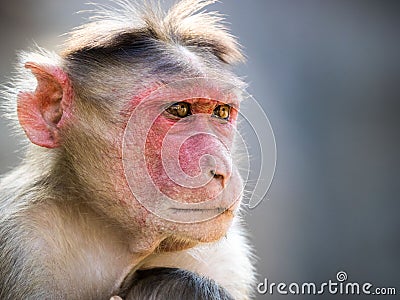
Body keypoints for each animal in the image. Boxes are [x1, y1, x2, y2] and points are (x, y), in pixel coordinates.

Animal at [0, 0, 255, 300]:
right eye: (179, 110)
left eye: (221, 112)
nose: (222, 170)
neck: (121, 243)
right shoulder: (24, 244)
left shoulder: (225, 259)